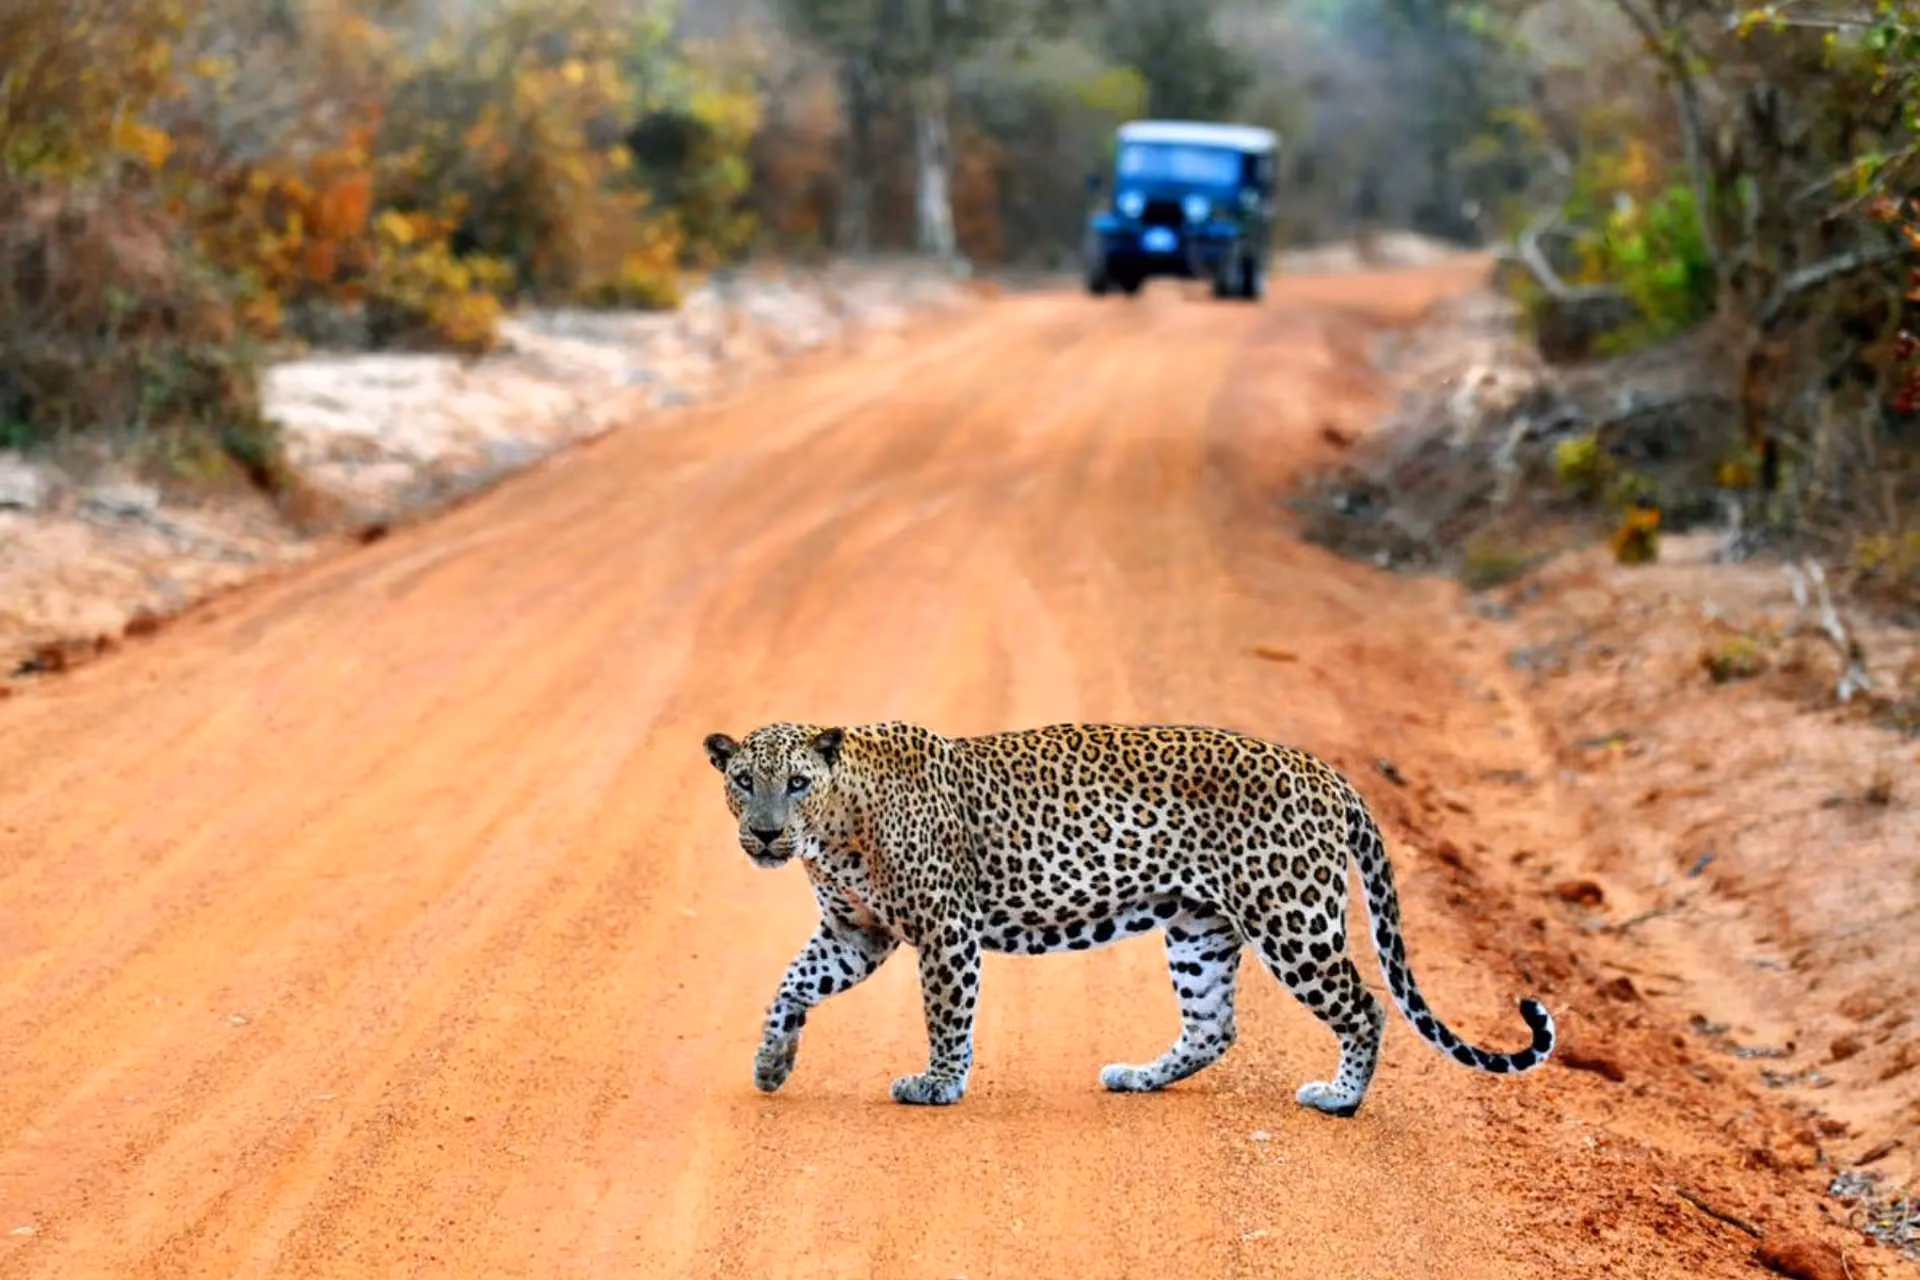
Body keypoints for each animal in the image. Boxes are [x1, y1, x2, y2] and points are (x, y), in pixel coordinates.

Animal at [702, 720, 1555, 1112]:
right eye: (744, 780)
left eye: (797, 782)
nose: (767, 833)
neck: (837, 828)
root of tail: (1327, 773)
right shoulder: (856, 933)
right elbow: (790, 985)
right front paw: (772, 1063)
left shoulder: (945, 930)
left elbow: (946, 1016)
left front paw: (938, 1084)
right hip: (1199, 927)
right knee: (1214, 1026)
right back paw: (1139, 1076)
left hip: (1291, 919)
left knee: (1366, 1005)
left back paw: (1339, 1098)